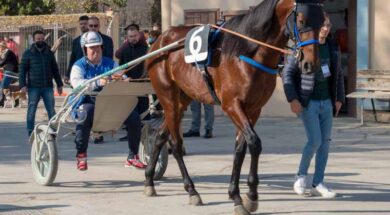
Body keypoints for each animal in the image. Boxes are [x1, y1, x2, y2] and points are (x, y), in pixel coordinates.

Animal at [144, 0, 326, 214]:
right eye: (301, 20)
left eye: (322, 21)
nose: (310, 64)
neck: (246, 52)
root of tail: (158, 42)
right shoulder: (231, 105)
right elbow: (254, 143)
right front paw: (248, 196)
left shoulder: (254, 108)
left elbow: (240, 148)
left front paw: (240, 195)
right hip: (168, 97)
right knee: (175, 144)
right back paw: (192, 190)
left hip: (183, 99)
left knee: (160, 135)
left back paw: (149, 180)